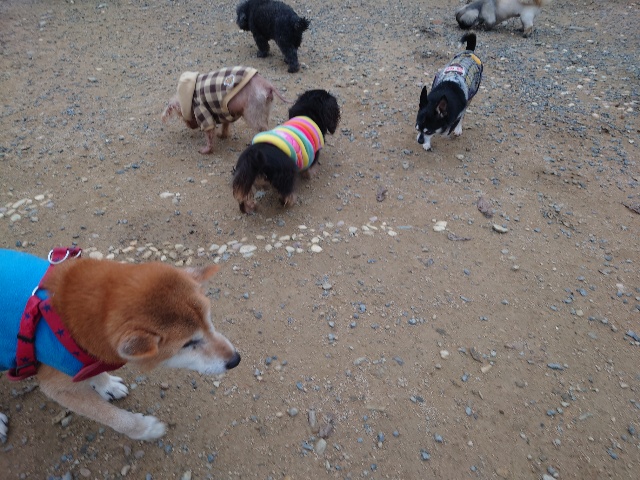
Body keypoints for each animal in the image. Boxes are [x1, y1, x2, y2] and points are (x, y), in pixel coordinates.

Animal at [0, 248, 240, 441]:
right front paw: (146, 429)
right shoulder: (57, 386)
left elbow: (94, 372)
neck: (66, 320)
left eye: (210, 321)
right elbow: (114, 418)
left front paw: (106, 385)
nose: (235, 360)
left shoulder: (87, 360)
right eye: (188, 343)